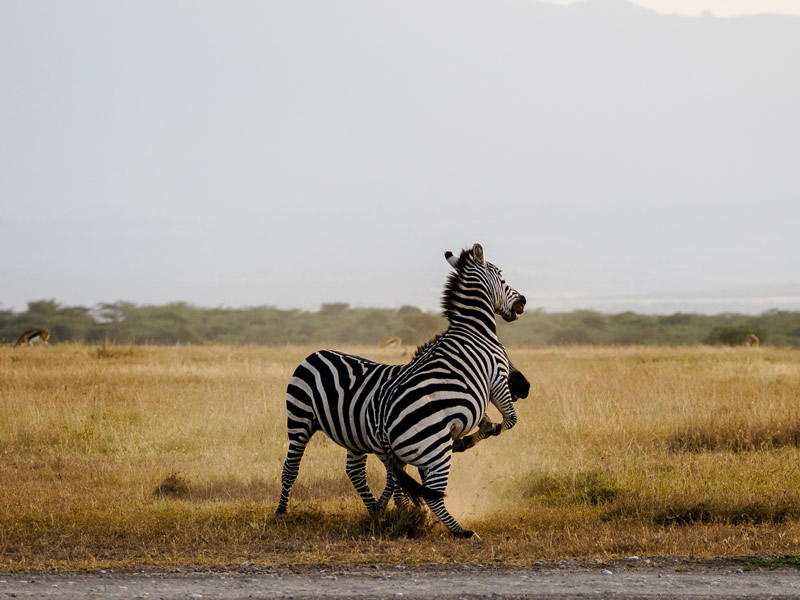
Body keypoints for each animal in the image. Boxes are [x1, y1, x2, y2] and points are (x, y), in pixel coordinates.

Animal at [368, 241, 524, 540]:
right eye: (501, 276)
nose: (523, 301)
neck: (475, 328)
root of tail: (384, 429)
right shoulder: (497, 379)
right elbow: (510, 420)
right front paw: (477, 435)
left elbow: (489, 420)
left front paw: (477, 431)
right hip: (435, 451)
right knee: (434, 496)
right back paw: (462, 532)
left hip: (405, 458)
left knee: (398, 484)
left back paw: (384, 515)